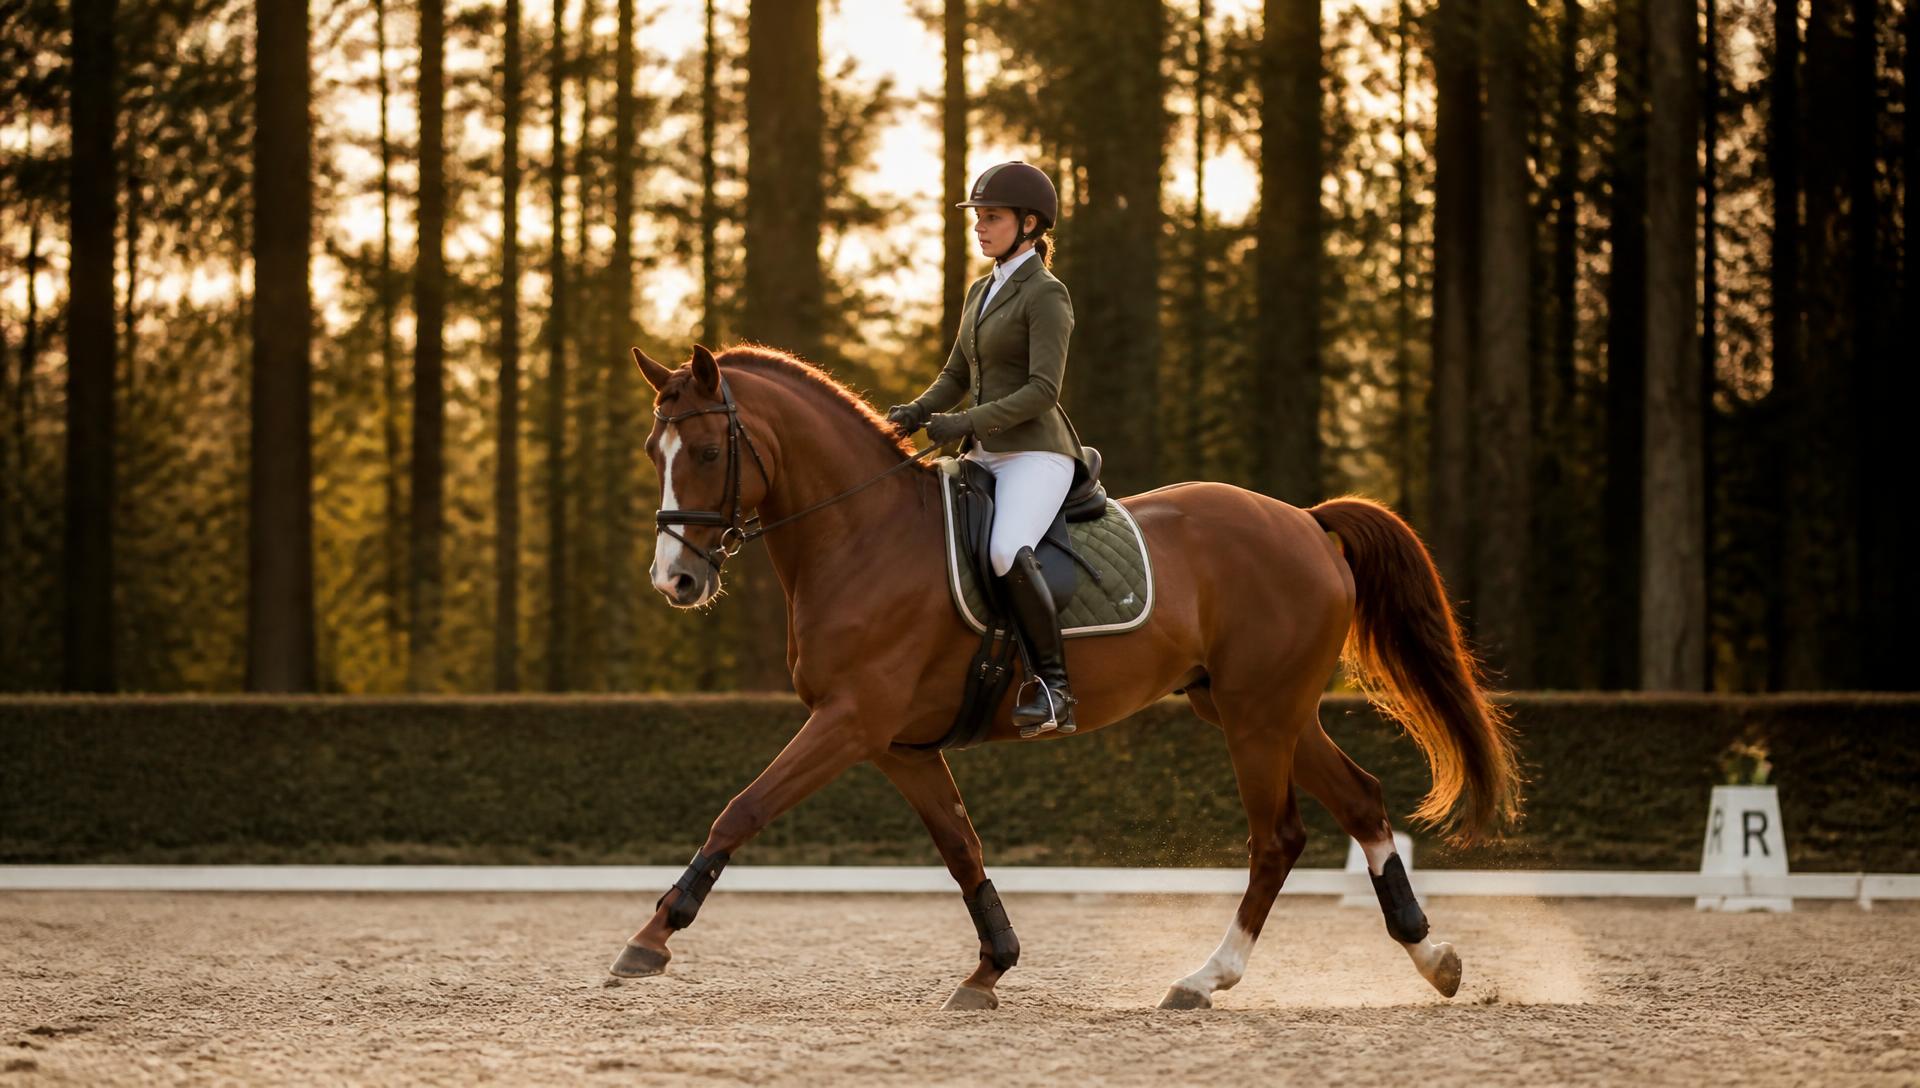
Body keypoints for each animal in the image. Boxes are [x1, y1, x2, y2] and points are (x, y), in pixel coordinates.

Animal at [613, 342, 1521, 1011]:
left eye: (704, 451)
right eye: (654, 452)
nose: (675, 581)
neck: (862, 535)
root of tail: (1305, 520)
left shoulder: (851, 721)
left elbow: (743, 808)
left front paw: (652, 937)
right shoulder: (901, 745)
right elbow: (962, 847)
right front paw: (991, 967)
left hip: (1258, 717)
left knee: (1278, 839)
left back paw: (1204, 980)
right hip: (1262, 710)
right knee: (1361, 801)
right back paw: (1433, 957)